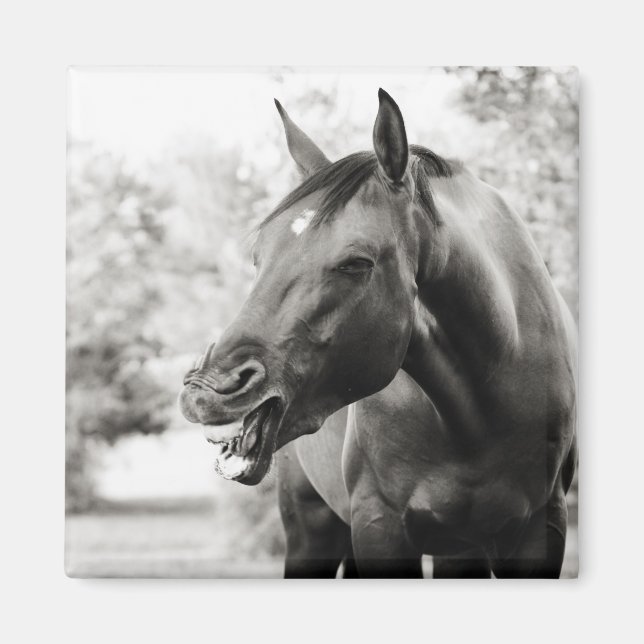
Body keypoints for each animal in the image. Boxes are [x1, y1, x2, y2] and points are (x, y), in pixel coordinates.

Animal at [180, 89, 577, 578]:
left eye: (357, 263)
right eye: (259, 256)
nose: (207, 391)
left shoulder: (539, 531)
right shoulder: (379, 526)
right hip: (311, 527)